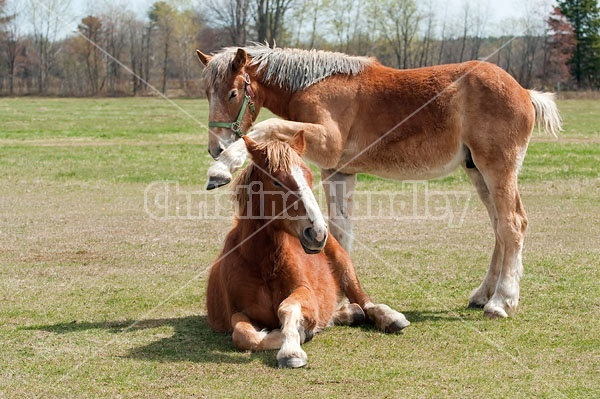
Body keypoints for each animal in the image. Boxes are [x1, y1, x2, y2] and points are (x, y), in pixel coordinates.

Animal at [197, 44, 564, 318]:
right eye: (206, 93)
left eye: (232, 93)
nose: (216, 147)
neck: (316, 84)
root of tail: (524, 91)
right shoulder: (339, 170)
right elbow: (340, 231)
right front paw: (342, 301)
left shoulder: (326, 141)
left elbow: (265, 128)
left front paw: (222, 168)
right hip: (478, 172)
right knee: (500, 227)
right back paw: (484, 294)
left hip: (496, 169)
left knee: (513, 224)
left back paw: (501, 302)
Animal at [205, 133, 408, 370]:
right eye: (276, 181)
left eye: (310, 177)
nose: (318, 232)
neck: (263, 263)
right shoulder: (237, 310)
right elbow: (244, 335)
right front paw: (290, 337)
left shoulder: (305, 293)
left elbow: (287, 307)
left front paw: (292, 347)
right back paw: (348, 313)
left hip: (344, 266)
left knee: (364, 300)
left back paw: (389, 317)